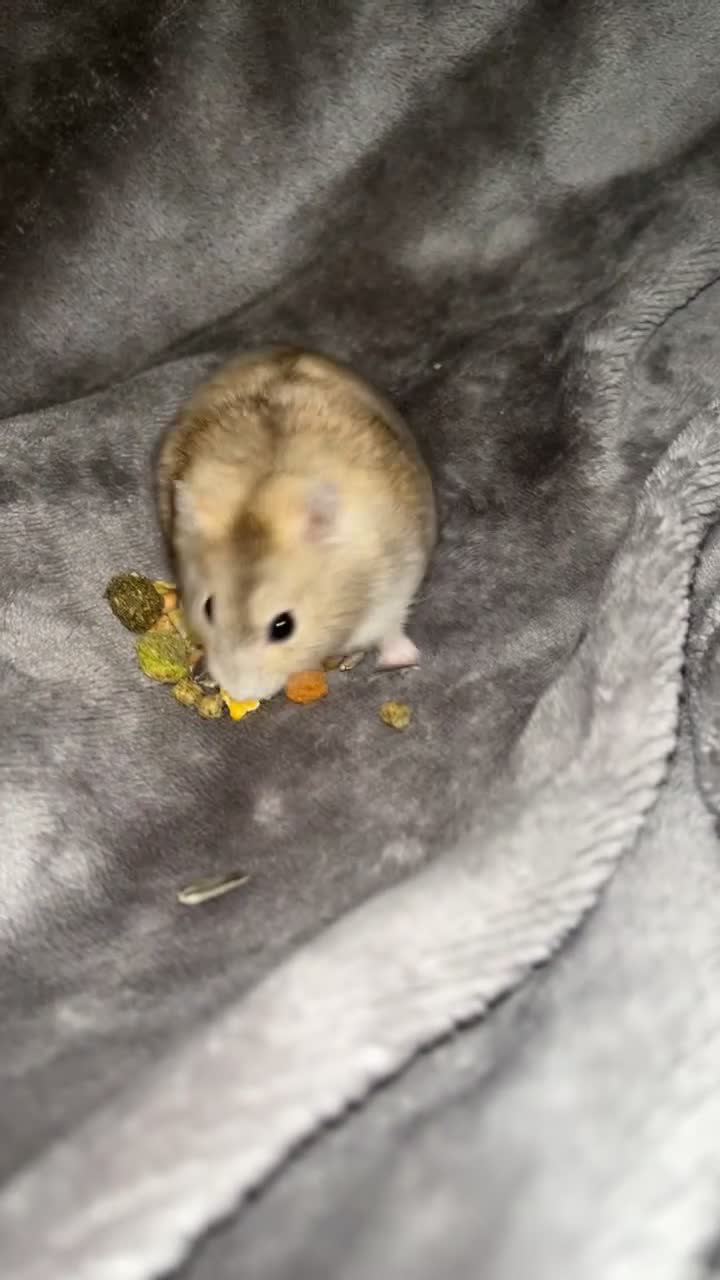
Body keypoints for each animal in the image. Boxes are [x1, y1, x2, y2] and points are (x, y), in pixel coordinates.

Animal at [155, 345, 437, 702]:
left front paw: (400, 660)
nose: (240, 692)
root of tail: (289, 348)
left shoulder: (395, 580)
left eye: (283, 626)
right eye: (208, 608)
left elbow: (390, 627)